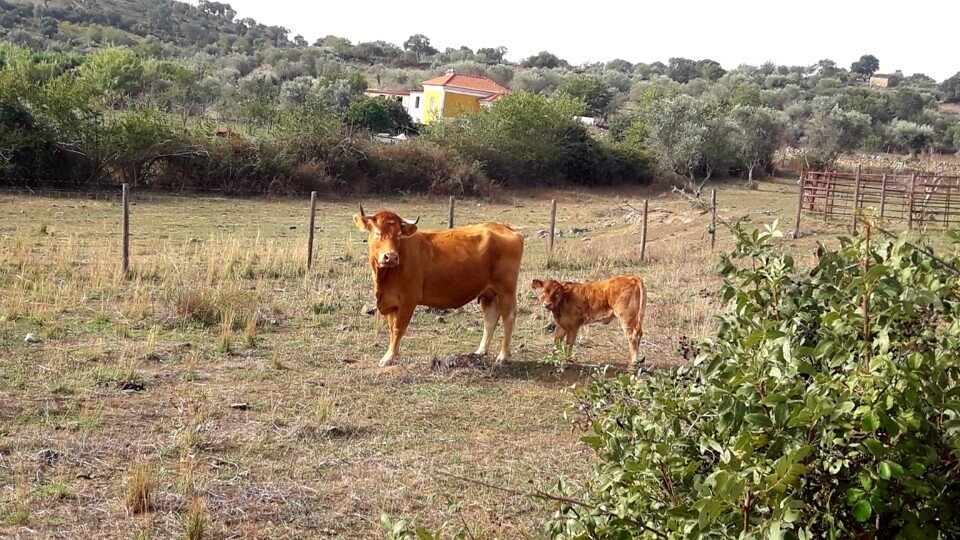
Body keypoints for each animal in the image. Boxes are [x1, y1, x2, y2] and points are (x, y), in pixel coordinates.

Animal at [354, 205, 524, 367]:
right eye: (377, 232)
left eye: (399, 234)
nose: (391, 257)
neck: (385, 276)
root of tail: (505, 228)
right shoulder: (392, 301)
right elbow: (391, 329)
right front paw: (391, 355)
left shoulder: (408, 300)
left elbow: (398, 329)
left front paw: (388, 358)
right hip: (489, 292)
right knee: (490, 319)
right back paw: (481, 351)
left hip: (506, 290)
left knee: (508, 318)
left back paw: (503, 356)